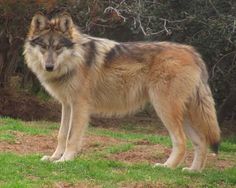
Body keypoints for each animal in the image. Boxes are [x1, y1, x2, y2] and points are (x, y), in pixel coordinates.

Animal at [23, 12, 220, 172]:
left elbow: (72, 137)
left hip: (165, 109)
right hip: (184, 115)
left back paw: (166, 167)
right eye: (44, 47)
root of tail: (193, 53)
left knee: (181, 142)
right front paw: (54, 157)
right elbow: (61, 134)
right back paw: (193, 171)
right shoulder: (67, 104)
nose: (49, 67)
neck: (75, 60)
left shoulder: (80, 106)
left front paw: (65, 160)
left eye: (58, 48)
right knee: (201, 142)